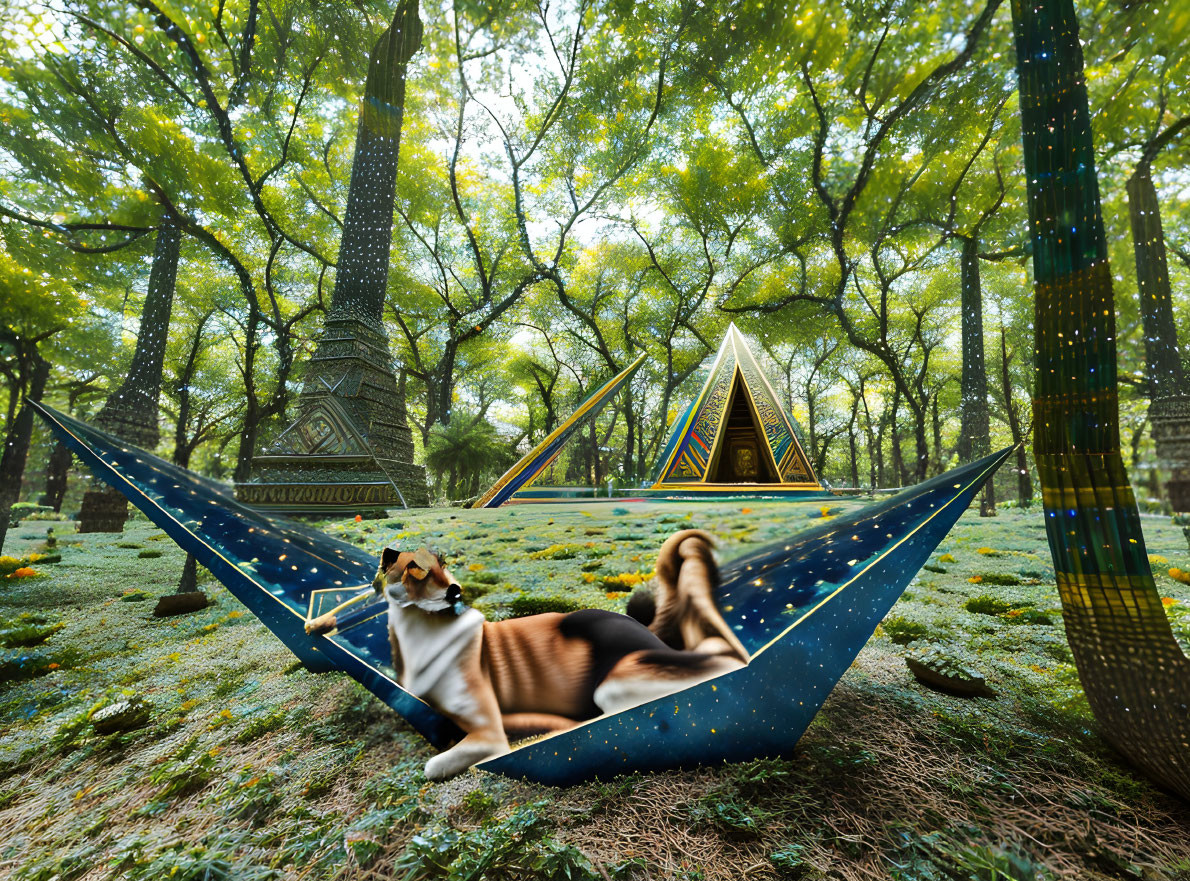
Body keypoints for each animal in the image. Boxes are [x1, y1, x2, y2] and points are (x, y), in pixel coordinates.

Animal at [366, 530, 747, 776]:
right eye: (415, 568)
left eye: (444, 564)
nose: (455, 591)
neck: (427, 633)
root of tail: (647, 633)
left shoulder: (488, 735)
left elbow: (431, 766)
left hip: (614, 684)